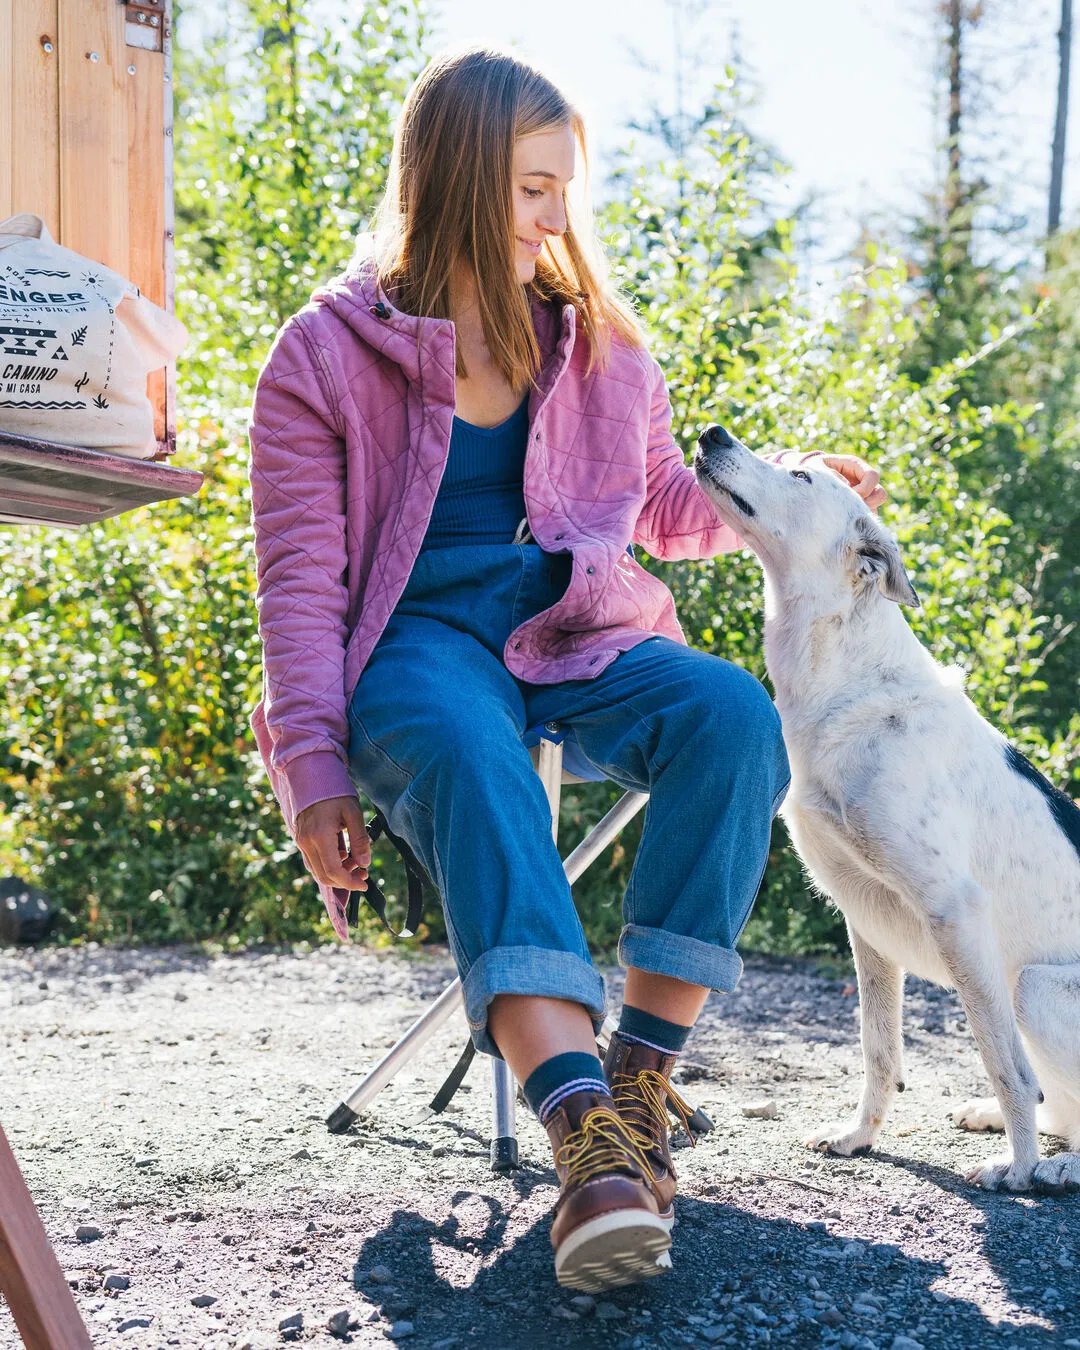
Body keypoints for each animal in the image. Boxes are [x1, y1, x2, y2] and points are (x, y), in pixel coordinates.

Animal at [691, 423, 1080, 1193]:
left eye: (803, 478)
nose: (713, 432)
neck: (845, 680)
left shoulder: (956, 911)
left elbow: (1005, 1066)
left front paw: (1019, 1169)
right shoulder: (864, 917)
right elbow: (879, 1050)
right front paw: (859, 1137)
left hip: (1037, 989)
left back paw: (1053, 1166)